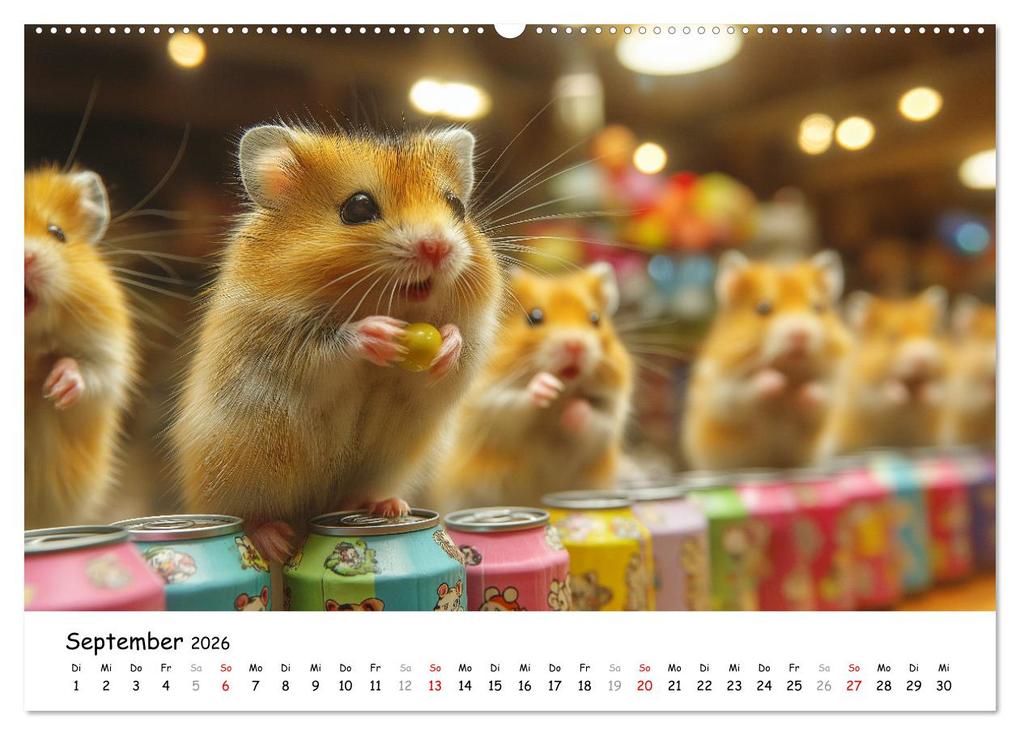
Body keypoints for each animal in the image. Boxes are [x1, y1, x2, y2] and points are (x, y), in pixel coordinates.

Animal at [171, 124, 501, 562]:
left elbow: (452, 354)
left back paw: (388, 508)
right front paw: (378, 332)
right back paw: (276, 541)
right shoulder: (284, 343)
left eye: (456, 205)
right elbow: (333, 346)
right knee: (248, 517)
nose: (438, 247)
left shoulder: (464, 350)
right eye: (358, 208)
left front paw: (447, 344)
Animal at [432, 264, 634, 510]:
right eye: (534, 317)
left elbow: (594, 421)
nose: (575, 345)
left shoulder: (609, 416)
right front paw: (546, 386)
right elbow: (517, 404)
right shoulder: (490, 402)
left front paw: (572, 410)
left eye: (595, 319)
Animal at [683, 251, 851, 471]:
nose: (801, 335)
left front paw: (800, 391)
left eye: (817, 308)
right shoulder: (725, 391)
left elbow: (819, 395)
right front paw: (777, 382)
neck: (789, 367)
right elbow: (752, 388)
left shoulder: (830, 392)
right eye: (763, 308)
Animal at [835, 287, 949, 452]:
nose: (923, 360)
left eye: (932, 333)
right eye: (892, 336)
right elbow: (886, 391)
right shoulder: (867, 390)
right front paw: (899, 392)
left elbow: (935, 388)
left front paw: (925, 393)